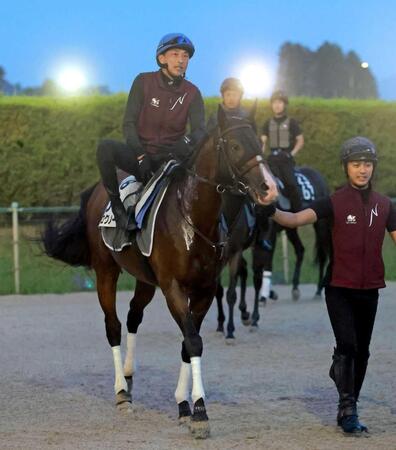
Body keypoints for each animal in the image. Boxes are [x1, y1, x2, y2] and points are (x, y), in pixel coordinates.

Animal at [41, 108, 276, 440]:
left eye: (258, 142)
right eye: (235, 146)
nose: (269, 188)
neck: (193, 217)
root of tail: (96, 191)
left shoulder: (204, 290)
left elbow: (189, 342)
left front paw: (184, 405)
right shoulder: (173, 288)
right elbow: (192, 341)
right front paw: (200, 411)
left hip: (145, 281)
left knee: (133, 316)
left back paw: (129, 376)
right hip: (105, 270)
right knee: (113, 325)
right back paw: (121, 393)